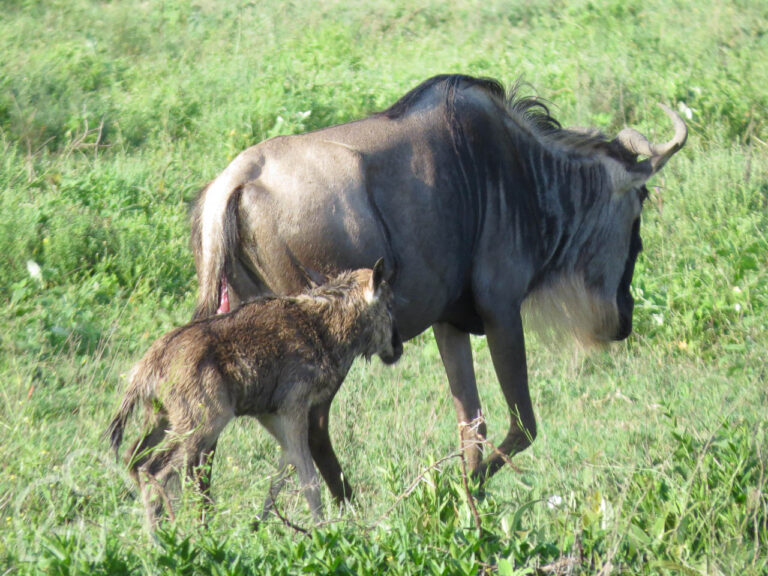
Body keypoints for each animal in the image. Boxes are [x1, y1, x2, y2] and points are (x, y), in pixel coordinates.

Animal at [106, 260, 402, 528]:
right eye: (388, 305)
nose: (397, 348)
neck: (323, 325)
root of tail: (148, 365)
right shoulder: (294, 408)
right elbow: (309, 480)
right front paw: (322, 531)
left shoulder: (269, 414)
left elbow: (286, 467)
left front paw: (257, 525)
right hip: (204, 425)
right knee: (155, 469)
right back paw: (168, 537)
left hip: (162, 419)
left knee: (133, 459)